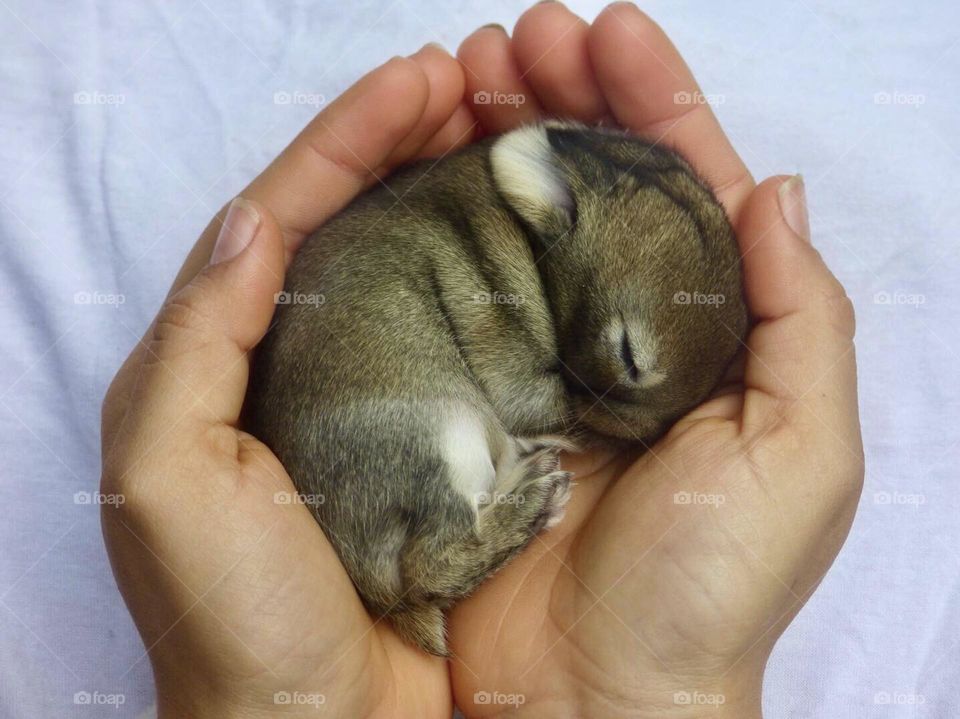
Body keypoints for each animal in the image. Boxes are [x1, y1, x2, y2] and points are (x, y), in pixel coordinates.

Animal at [245, 121, 748, 655]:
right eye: (627, 353)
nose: (627, 439)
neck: (531, 245)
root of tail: (373, 587)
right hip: (445, 434)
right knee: (430, 566)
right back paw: (537, 497)